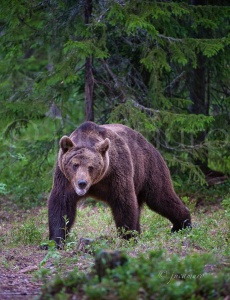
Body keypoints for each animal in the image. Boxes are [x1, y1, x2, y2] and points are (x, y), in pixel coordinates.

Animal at [47, 120, 191, 247]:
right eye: (75, 165)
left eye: (91, 167)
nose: (82, 183)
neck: (97, 182)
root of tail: (150, 144)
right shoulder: (64, 179)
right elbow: (61, 205)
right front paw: (55, 241)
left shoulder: (117, 172)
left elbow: (124, 202)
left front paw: (128, 237)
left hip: (149, 169)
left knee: (161, 197)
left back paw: (182, 225)